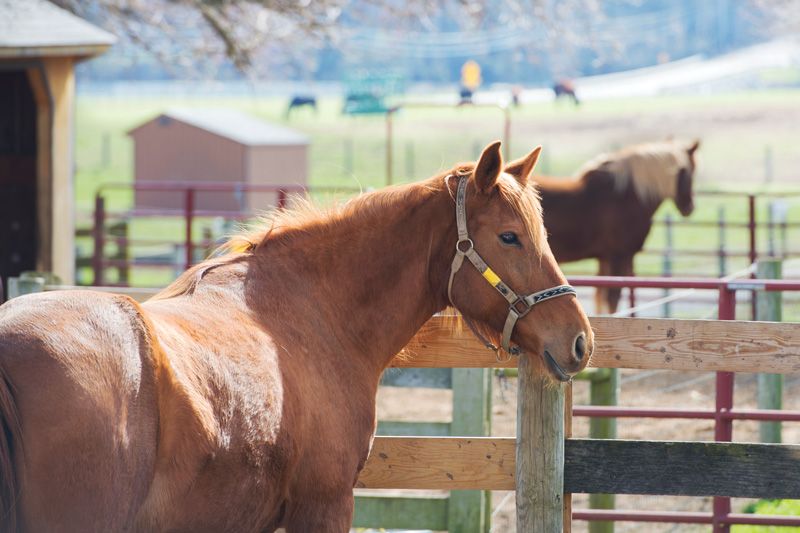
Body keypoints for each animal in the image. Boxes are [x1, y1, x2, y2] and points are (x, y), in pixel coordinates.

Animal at [536, 140, 700, 316]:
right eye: (690, 171)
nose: (689, 207)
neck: (626, 196)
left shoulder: (604, 258)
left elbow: (600, 296)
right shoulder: (619, 256)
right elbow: (612, 297)